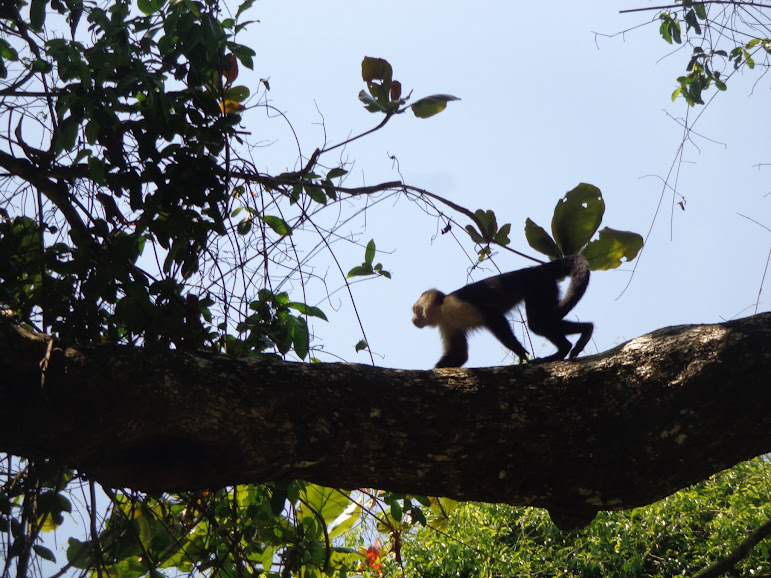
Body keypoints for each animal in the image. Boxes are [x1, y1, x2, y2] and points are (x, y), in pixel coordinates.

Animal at [414, 254, 596, 366]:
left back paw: (573, 341)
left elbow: (493, 316)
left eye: (416, 310)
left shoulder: (453, 306)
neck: (441, 310)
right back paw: (580, 335)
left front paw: (520, 352)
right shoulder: (447, 324)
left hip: (540, 285)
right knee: (542, 322)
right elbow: (459, 355)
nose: (413, 319)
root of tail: (539, 268)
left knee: (537, 324)